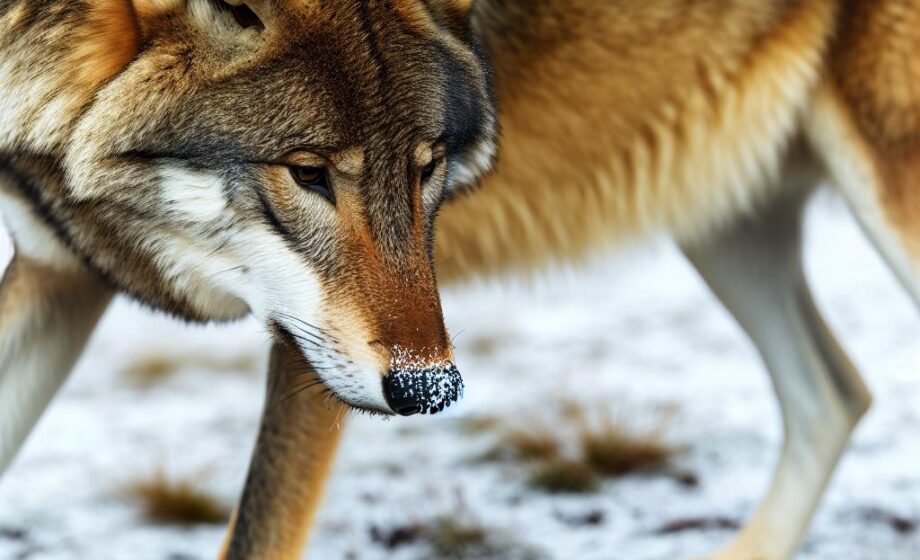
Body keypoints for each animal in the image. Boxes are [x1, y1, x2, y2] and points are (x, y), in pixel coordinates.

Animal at [1, 1, 917, 559]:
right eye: (308, 173)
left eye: (428, 167)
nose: (430, 390)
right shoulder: (58, 269)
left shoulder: (310, 352)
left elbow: (256, 533)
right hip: (723, 227)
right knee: (837, 392)